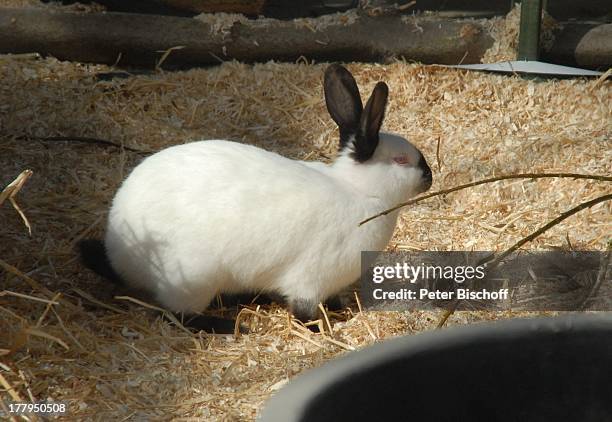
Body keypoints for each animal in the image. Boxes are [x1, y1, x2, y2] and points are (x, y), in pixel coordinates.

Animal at [86, 63, 432, 320]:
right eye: (401, 160)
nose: (429, 177)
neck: (359, 192)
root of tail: (119, 254)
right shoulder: (311, 280)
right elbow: (305, 312)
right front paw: (326, 323)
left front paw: (340, 309)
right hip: (193, 279)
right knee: (179, 316)